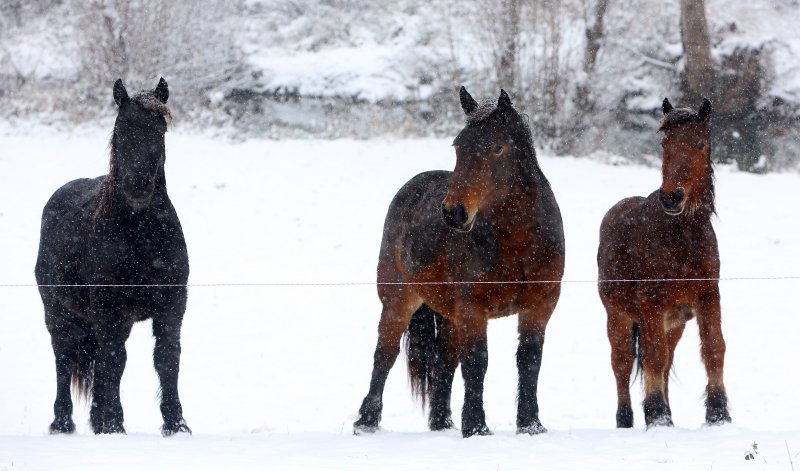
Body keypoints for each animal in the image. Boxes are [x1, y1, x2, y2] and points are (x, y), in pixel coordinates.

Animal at [35, 76, 191, 436]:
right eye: (121, 130)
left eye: (160, 129)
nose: (139, 185)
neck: (142, 237)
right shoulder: (111, 312)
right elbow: (114, 362)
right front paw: (115, 425)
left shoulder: (172, 307)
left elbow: (167, 359)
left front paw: (176, 424)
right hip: (58, 314)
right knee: (64, 360)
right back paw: (62, 422)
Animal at [354, 87, 564, 438]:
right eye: (458, 146)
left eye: (497, 148)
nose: (454, 212)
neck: (518, 242)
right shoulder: (473, 309)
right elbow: (477, 362)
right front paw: (476, 427)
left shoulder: (539, 306)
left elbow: (529, 360)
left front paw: (531, 425)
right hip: (399, 299)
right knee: (385, 353)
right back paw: (367, 421)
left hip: (450, 315)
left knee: (444, 360)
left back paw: (441, 422)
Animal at [600, 97, 732, 430]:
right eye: (665, 143)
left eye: (700, 143)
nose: (672, 197)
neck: (682, 239)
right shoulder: (651, 304)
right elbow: (653, 358)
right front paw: (656, 415)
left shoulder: (708, 297)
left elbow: (714, 348)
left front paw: (718, 414)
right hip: (619, 316)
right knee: (623, 364)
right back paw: (627, 419)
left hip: (674, 323)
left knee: (664, 359)